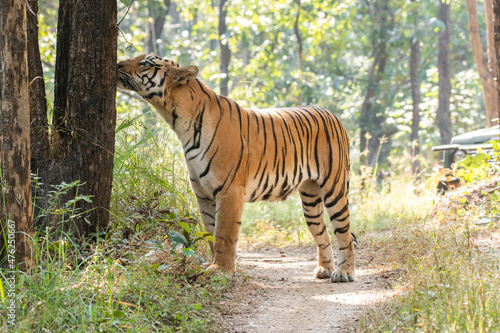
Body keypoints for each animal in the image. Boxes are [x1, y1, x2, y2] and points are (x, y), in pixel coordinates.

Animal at [117, 53, 356, 280]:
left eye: (146, 63)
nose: (117, 64)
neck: (179, 122)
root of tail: (333, 114)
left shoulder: (229, 191)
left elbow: (224, 234)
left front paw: (220, 270)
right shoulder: (203, 194)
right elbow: (211, 233)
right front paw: (214, 267)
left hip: (335, 189)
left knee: (344, 234)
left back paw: (344, 272)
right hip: (310, 198)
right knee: (323, 234)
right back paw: (325, 269)